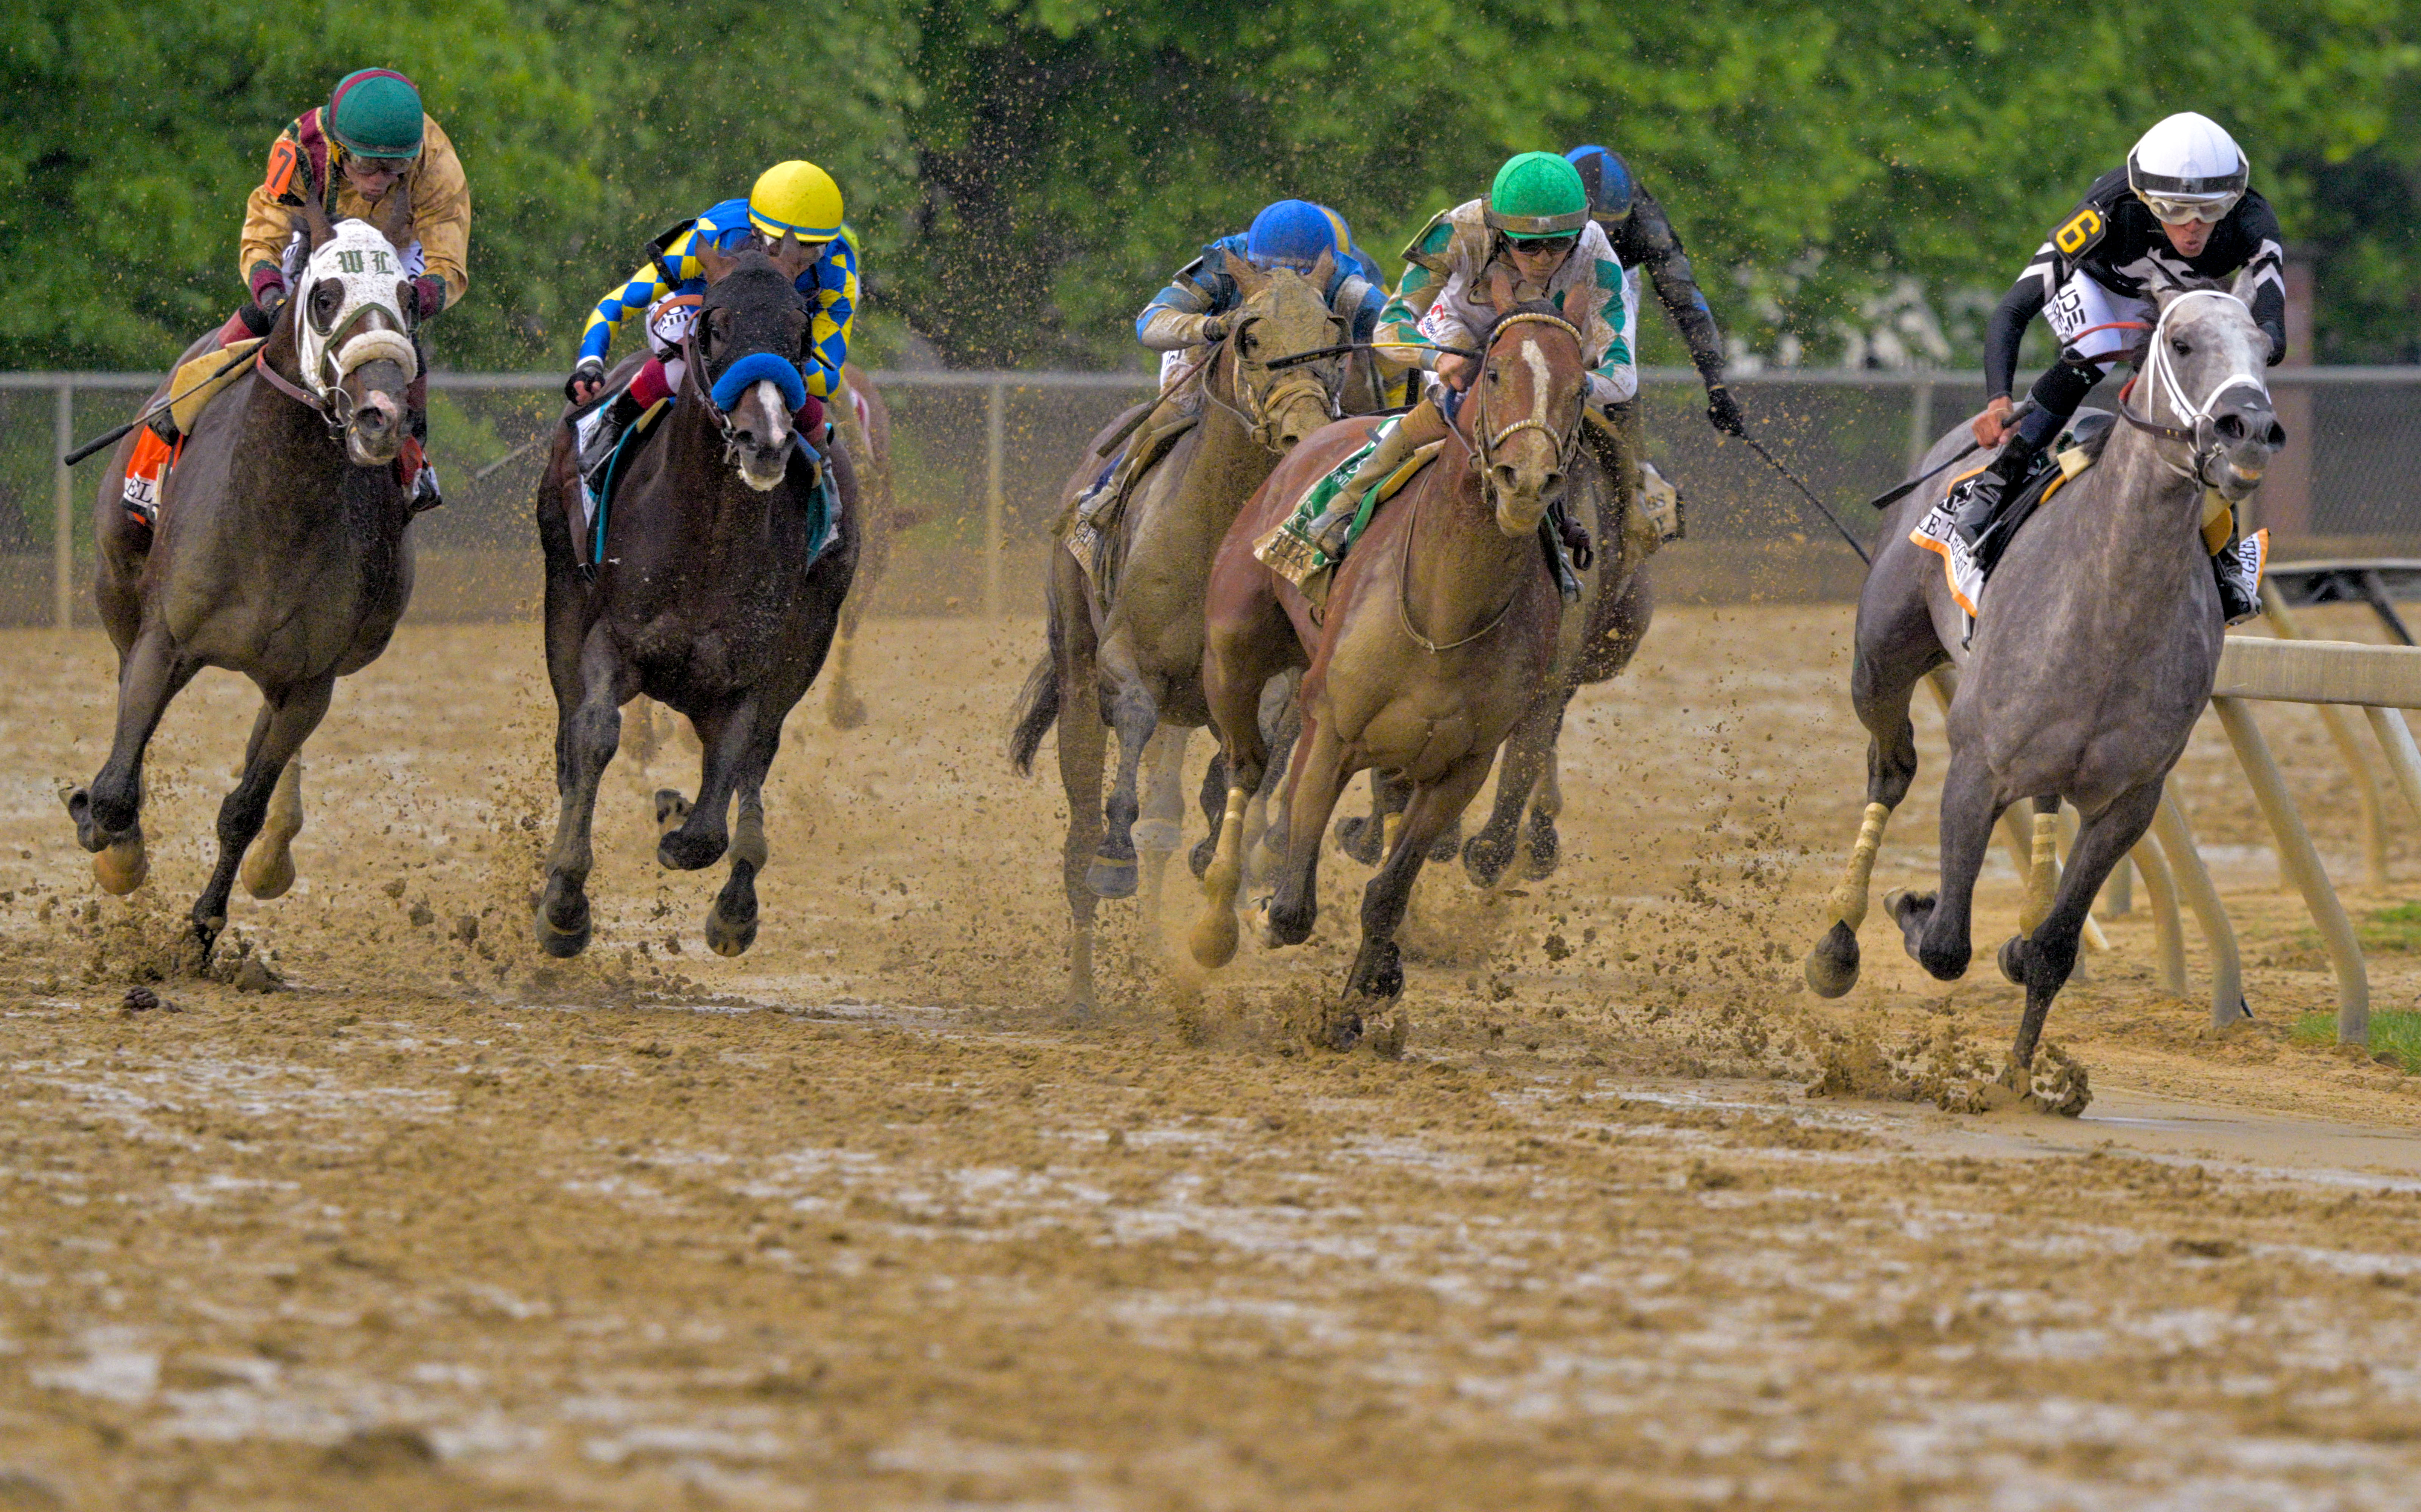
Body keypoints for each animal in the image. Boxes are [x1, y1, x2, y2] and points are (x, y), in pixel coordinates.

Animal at [66, 207, 424, 963]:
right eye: (324, 297)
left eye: (408, 299)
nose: (381, 416)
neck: (275, 508)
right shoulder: (165, 643)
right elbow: (114, 791)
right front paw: (115, 850)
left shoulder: (310, 681)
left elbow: (243, 808)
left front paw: (203, 929)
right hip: (119, 589)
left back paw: (273, 854)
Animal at [533, 244, 862, 953]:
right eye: (713, 327)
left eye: (800, 335)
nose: (765, 440)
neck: (707, 541)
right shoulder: (611, 637)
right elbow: (595, 735)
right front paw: (566, 902)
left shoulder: (744, 674)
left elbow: (722, 797)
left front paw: (685, 836)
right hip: (562, 599)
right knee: (571, 739)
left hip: (809, 642)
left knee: (755, 762)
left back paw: (735, 897)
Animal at [1007, 254, 1365, 1006]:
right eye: (1249, 335)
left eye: (1333, 333)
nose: (1306, 433)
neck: (1218, 530)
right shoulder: (1129, 660)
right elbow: (1136, 725)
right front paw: (1119, 852)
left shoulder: (1274, 676)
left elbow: (1257, 749)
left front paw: (1216, 848)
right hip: (1077, 675)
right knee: (1079, 835)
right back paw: (1082, 989)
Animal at [1196, 301, 1578, 1045]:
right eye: (1494, 372)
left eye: (1580, 387)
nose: (1525, 481)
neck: (1446, 612)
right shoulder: (1331, 730)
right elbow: (1292, 906)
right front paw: (1265, 915)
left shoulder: (1461, 767)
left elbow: (1388, 894)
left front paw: (1360, 1000)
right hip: (1232, 649)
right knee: (1245, 767)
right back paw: (1216, 918)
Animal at [1801, 285, 2285, 1098]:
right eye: (2182, 343)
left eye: (2265, 346)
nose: (2248, 429)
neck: (2110, 608)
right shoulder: (1977, 769)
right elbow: (1946, 944)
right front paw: (1914, 904)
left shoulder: (2129, 802)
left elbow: (2053, 950)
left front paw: (2020, 1081)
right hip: (1881, 661)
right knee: (1891, 768)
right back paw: (1838, 943)